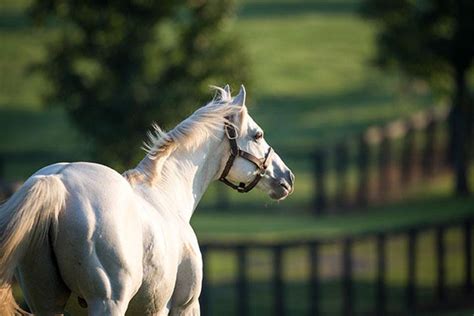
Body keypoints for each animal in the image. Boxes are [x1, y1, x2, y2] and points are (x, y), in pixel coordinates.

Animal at [0, 85, 294, 314]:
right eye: (257, 135)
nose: (287, 178)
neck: (166, 194)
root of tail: (58, 183)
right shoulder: (183, 306)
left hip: (47, 304)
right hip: (108, 303)